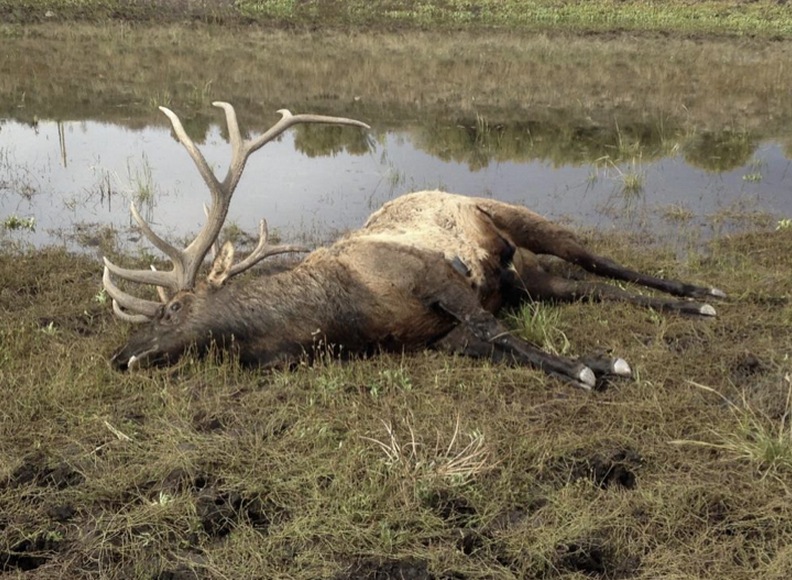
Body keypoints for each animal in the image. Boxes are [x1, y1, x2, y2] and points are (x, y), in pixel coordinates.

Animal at [102, 102, 725, 390]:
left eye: (171, 310)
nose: (118, 356)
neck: (339, 317)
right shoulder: (438, 338)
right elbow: (501, 343)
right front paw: (600, 361)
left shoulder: (436, 281)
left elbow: (499, 333)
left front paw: (583, 368)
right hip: (530, 278)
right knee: (585, 286)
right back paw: (689, 305)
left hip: (519, 221)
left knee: (601, 259)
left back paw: (703, 293)